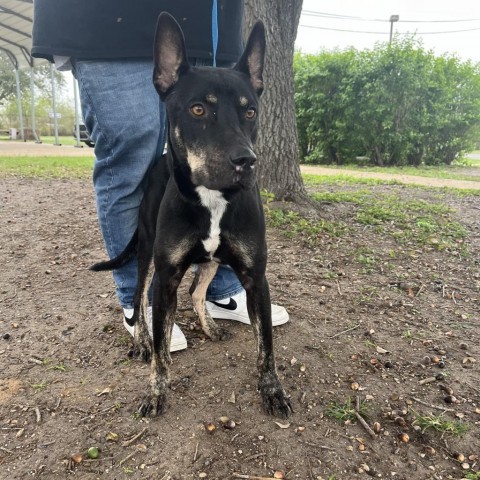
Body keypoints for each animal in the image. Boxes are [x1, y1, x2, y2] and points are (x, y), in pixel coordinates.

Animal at [91, 9, 292, 418]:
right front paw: (156, 391)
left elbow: (266, 347)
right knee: (138, 302)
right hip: (145, 253)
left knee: (198, 291)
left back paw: (209, 326)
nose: (246, 161)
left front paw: (272, 390)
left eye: (250, 111)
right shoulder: (165, 278)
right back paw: (141, 341)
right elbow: (161, 349)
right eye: (199, 109)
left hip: (212, 260)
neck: (213, 197)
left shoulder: (255, 278)